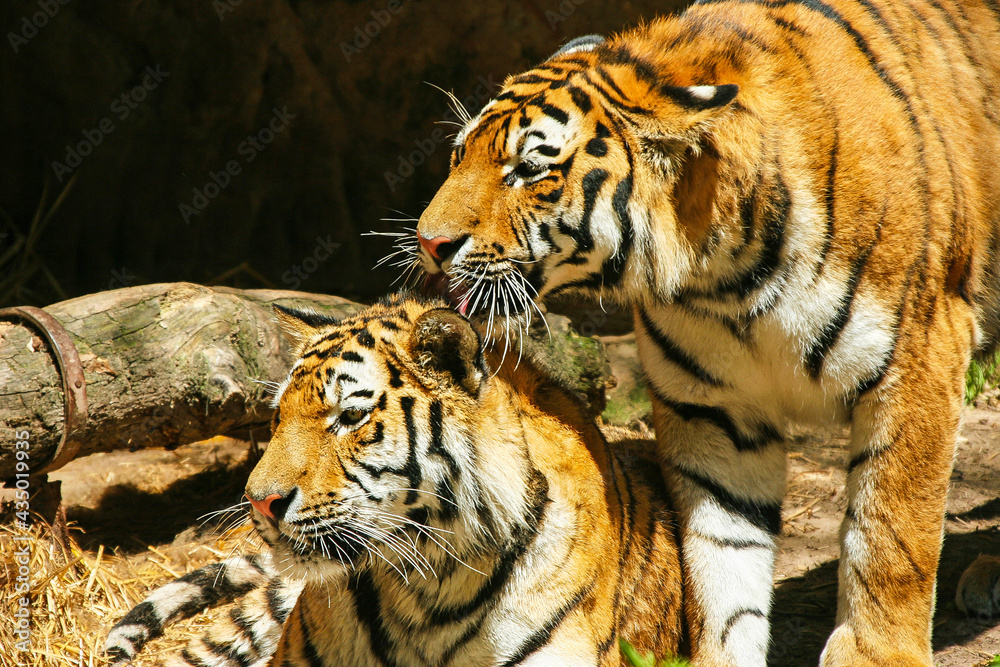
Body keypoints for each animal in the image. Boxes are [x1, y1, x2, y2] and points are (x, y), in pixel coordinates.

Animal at [411, 2, 1000, 665]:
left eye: (529, 169)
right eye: (459, 155)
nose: (428, 242)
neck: (725, 276)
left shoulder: (917, 358)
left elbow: (893, 530)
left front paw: (877, 653)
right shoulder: (714, 410)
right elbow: (722, 559)